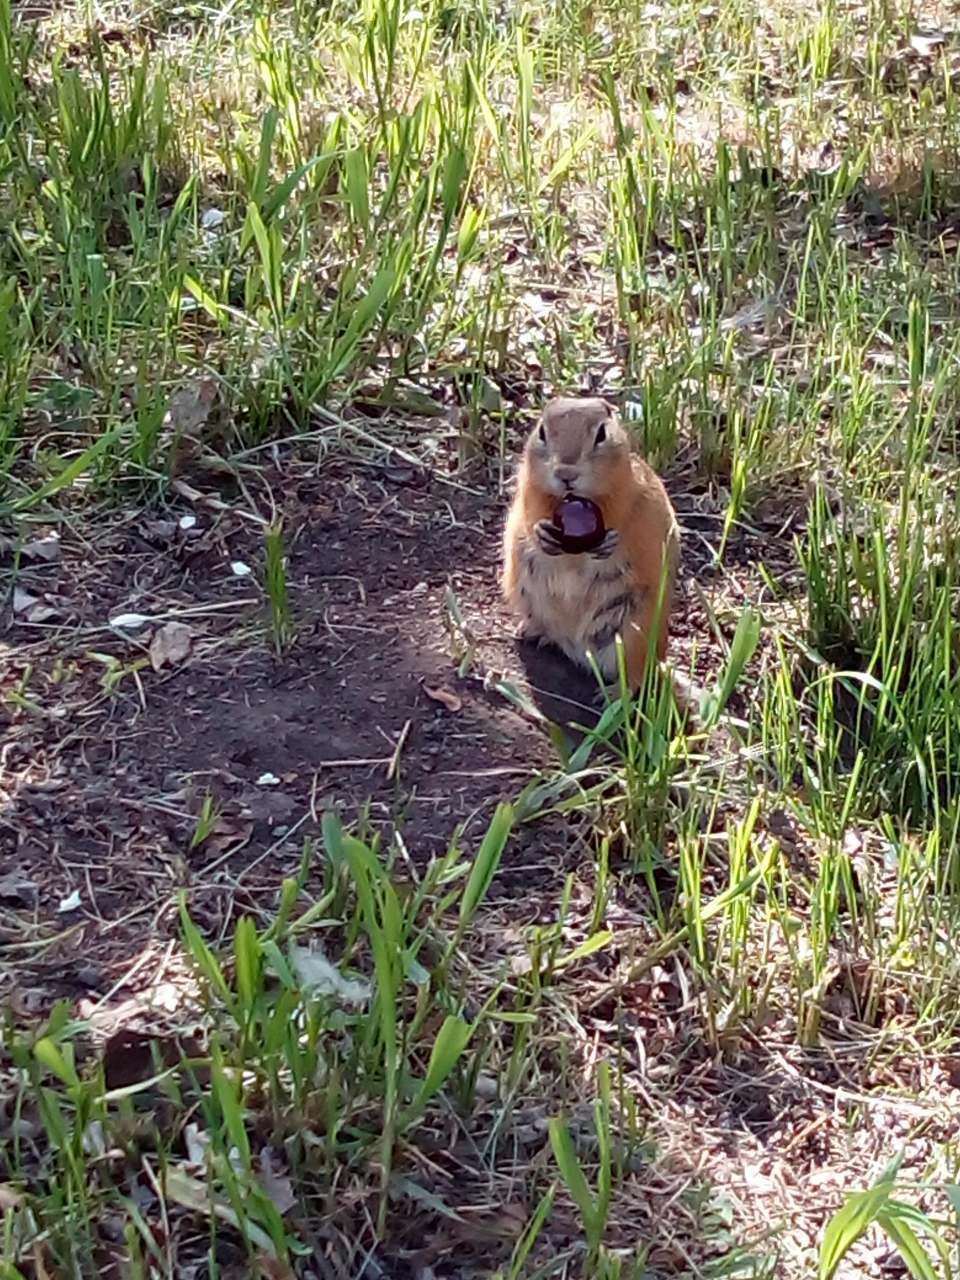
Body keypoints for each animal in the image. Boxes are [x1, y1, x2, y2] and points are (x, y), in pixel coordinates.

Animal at [499, 399, 680, 701]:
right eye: (542, 432)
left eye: (601, 434)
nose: (566, 474)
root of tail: (578, 647)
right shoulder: (531, 487)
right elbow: (531, 511)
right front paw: (541, 533)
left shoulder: (624, 495)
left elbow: (621, 520)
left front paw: (609, 544)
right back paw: (533, 632)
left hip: (635, 632)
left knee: (637, 675)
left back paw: (613, 695)